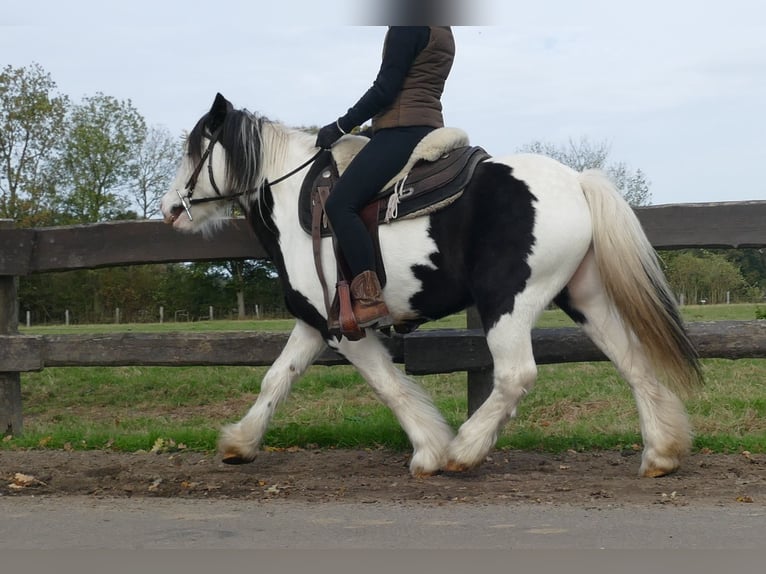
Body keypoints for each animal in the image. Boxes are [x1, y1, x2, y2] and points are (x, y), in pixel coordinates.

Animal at [160, 95, 704, 482]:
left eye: (192, 151)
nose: (169, 209)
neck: (297, 197)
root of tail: (576, 182)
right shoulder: (314, 323)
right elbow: (277, 378)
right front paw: (239, 443)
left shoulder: (345, 329)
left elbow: (388, 385)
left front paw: (430, 450)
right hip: (585, 298)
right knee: (632, 360)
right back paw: (661, 453)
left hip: (508, 302)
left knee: (516, 375)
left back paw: (465, 450)